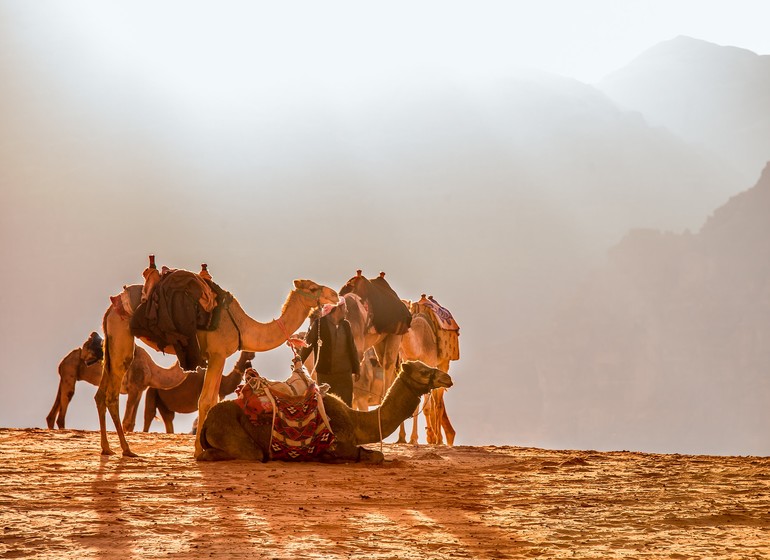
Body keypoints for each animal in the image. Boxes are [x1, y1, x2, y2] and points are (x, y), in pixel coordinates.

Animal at [196, 358, 450, 464]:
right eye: (423, 371)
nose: (447, 378)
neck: (355, 421)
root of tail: (207, 421)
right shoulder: (339, 443)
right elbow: (374, 456)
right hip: (239, 441)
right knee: (251, 454)